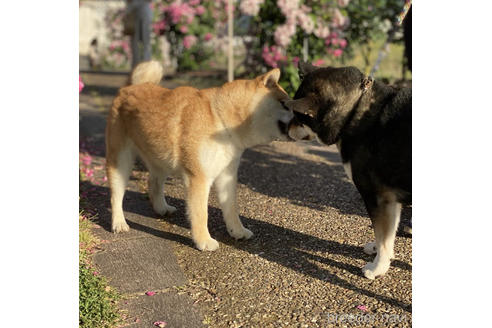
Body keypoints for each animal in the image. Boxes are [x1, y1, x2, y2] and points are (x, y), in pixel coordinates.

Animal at [105, 60, 292, 251]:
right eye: (286, 104)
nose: (301, 117)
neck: (220, 120)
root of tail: (129, 87)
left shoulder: (226, 176)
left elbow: (232, 209)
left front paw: (237, 231)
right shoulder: (199, 178)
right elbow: (201, 213)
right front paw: (204, 241)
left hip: (160, 160)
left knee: (154, 183)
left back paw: (161, 208)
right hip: (120, 161)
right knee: (116, 196)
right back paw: (119, 223)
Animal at [286, 62, 410, 280]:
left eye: (299, 117)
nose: (285, 128)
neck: (354, 111)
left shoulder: (376, 197)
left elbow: (382, 235)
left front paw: (378, 267)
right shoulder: (391, 199)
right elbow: (388, 235)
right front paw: (381, 253)